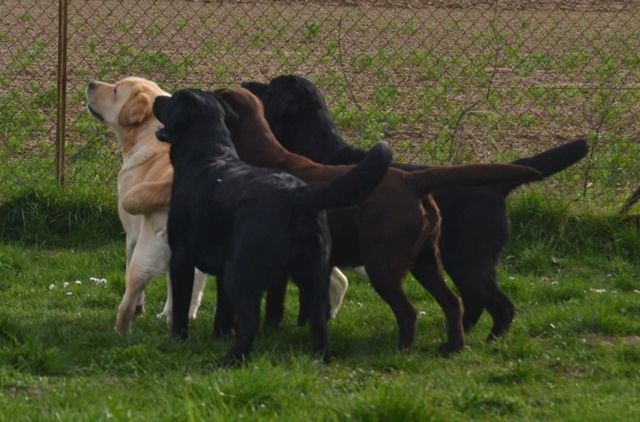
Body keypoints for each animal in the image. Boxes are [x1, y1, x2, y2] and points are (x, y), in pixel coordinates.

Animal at [152, 89, 392, 362]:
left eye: (173, 100)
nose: (157, 99)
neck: (208, 155)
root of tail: (297, 195)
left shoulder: (181, 258)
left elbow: (181, 308)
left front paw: (177, 339)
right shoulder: (222, 268)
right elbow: (223, 312)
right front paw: (218, 337)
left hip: (241, 273)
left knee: (250, 323)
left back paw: (228, 361)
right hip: (313, 273)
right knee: (319, 321)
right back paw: (321, 358)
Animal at [241, 75, 592, 340]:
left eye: (270, 87)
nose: (245, 82)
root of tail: (495, 185)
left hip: (467, 260)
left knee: (500, 305)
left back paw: (489, 341)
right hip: (456, 261)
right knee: (472, 302)